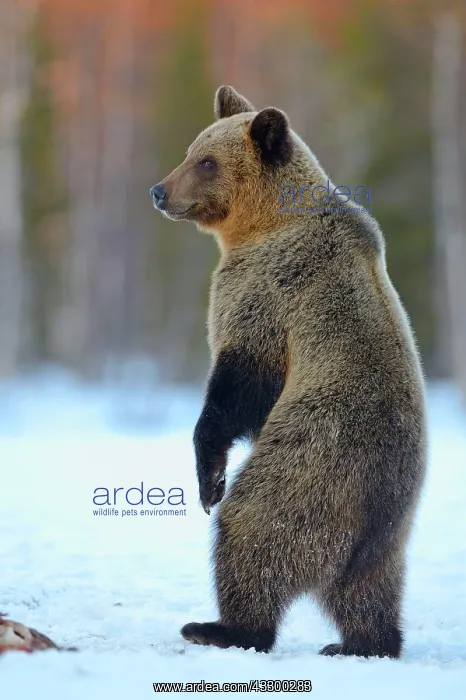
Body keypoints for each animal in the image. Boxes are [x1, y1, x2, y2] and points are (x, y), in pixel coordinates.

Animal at [150, 86, 427, 658]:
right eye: (192, 150)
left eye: (206, 162)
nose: (160, 191)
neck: (263, 225)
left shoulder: (268, 294)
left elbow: (237, 386)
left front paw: (209, 480)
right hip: (390, 530)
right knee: (368, 589)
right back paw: (362, 642)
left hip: (315, 461)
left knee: (254, 530)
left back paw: (222, 627)